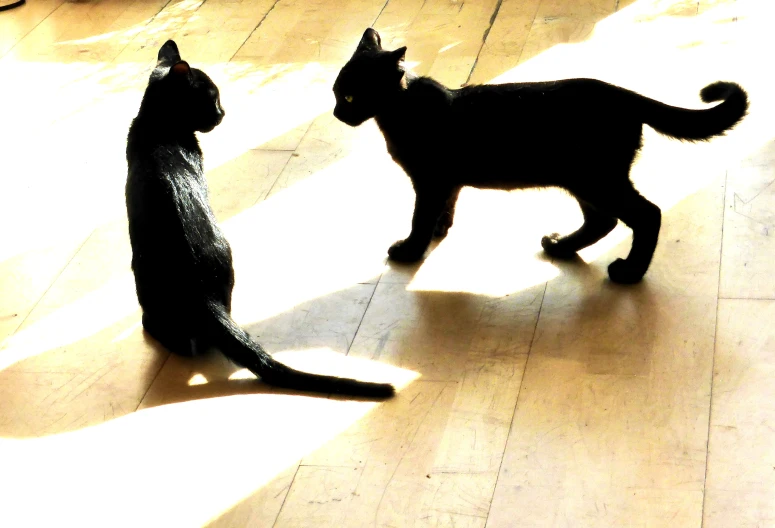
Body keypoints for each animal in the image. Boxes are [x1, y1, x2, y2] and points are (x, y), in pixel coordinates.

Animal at [330, 27, 748, 284]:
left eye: (350, 96)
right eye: (336, 91)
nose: (336, 113)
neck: (399, 111)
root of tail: (622, 93)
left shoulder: (430, 181)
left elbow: (419, 216)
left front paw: (410, 249)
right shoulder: (446, 182)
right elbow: (445, 208)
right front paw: (438, 231)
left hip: (597, 177)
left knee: (647, 214)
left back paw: (629, 274)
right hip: (585, 179)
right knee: (604, 220)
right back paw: (560, 246)